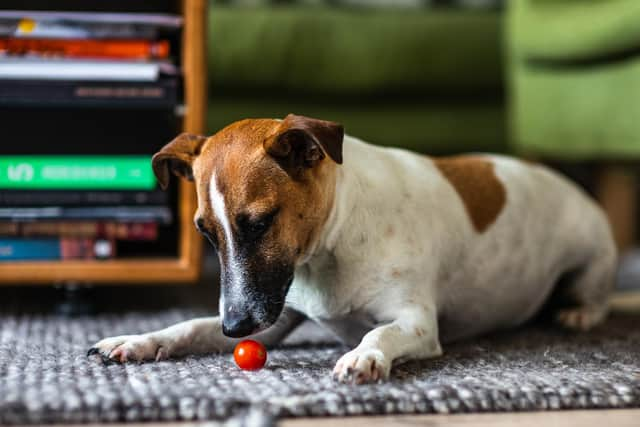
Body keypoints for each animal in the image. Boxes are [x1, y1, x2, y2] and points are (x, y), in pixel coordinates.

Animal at [87, 115, 616, 386]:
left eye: (259, 223)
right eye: (205, 233)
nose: (234, 328)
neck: (331, 245)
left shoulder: (417, 323)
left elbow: (379, 333)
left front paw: (365, 356)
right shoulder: (274, 316)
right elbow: (188, 327)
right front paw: (136, 340)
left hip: (592, 259)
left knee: (594, 293)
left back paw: (581, 313)